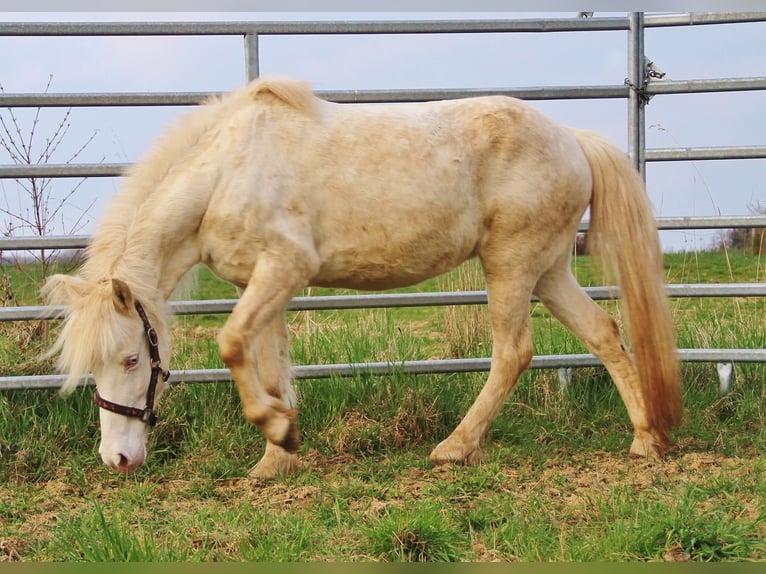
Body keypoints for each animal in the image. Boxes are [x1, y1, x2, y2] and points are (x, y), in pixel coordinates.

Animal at [42, 77, 682, 478]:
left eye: (132, 358)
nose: (117, 460)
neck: (226, 172)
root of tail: (574, 140)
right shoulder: (261, 284)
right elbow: (266, 363)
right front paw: (276, 456)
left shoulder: (284, 268)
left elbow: (230, 344)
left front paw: (279, 433)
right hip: (548, 269)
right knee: (603, 333)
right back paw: (646, 441)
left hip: (512, 263)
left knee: (513, 352)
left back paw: (454, 448)